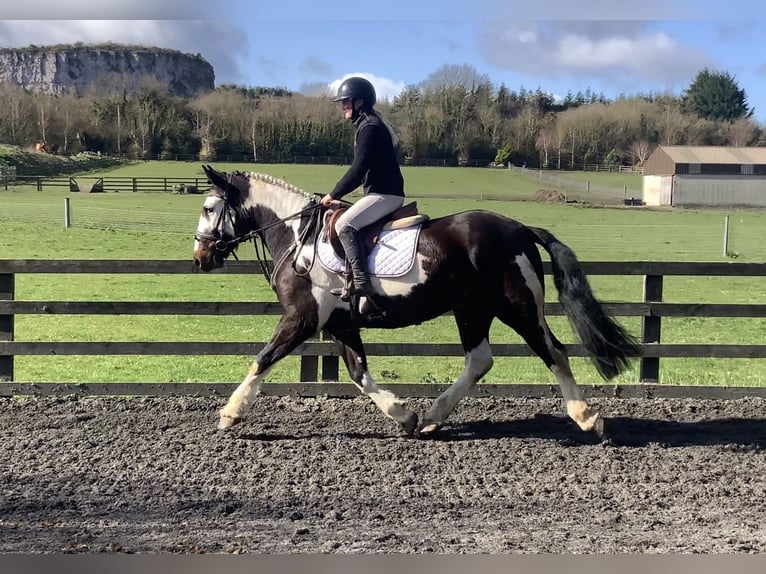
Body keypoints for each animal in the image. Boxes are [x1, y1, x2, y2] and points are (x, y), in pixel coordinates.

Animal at [192, 164, 641, 439]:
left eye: (210, 207)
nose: (199, 258)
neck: (297, 238)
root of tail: (520, 228)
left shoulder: (302, 317)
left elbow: (263, 357)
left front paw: (231, 413)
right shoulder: (339, 324)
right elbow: (359, 373)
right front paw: (404, 416)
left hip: (518, 308)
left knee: (554, 351)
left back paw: (587, 418)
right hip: (473, 310)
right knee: (480, 360)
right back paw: (432, 418)